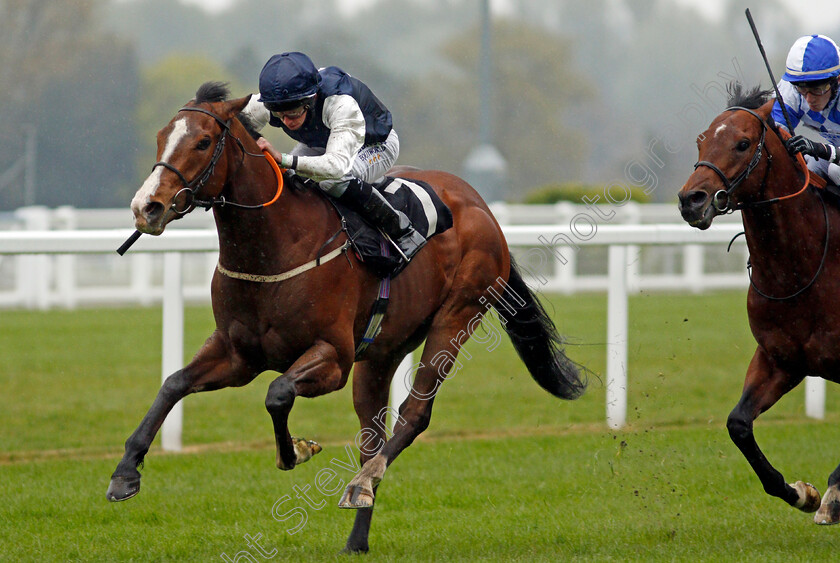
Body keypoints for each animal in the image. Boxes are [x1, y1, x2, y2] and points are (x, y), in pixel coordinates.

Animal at [105, 83, 588, 556]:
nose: (146, 207)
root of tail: (481, 206)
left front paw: (295, 451)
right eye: (161, 136)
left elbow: (277, 393)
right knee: (372, 432)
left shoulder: (333, 357)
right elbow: (173, 384)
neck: (275, 246)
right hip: (381, 351)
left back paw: (362, 482)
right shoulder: (237, 354)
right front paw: (126, 473)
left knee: (414, 414)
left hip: (456, 318)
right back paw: (357, 534)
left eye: (203, 141)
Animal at [676, 82, 840, 524]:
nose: (691, 199)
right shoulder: (779, 359)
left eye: (743, 143)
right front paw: (802, 493)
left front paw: (833, 495)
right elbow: (738, 424)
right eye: (700, 140)